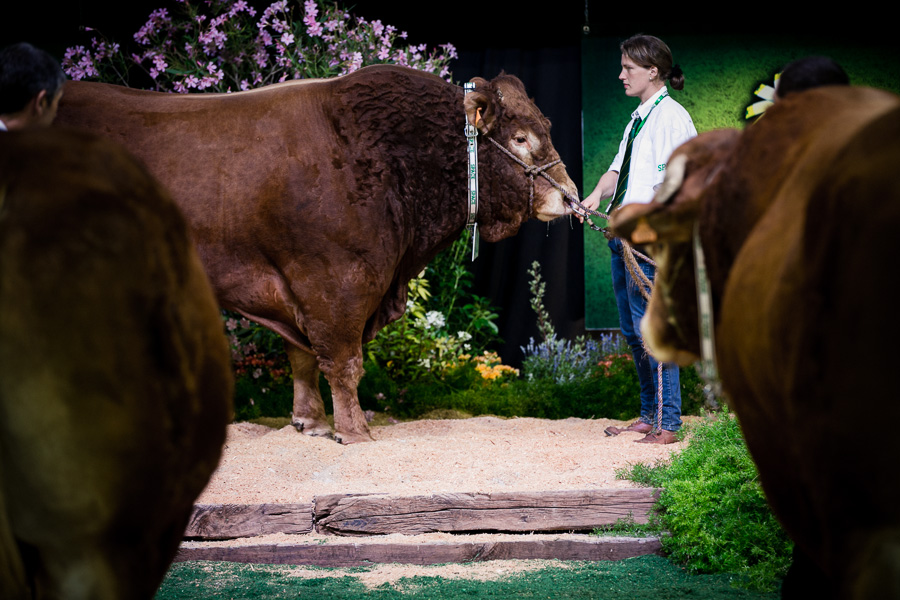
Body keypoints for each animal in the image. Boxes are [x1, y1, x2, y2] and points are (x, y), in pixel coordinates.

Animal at [56, 65, 576, 442]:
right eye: (520, 138)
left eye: (546, 126)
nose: (570, 196)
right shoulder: (335, 282)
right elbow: (343, 362)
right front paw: (355, 432)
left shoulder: (296, 288)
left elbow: (303, 357)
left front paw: (311, 422)